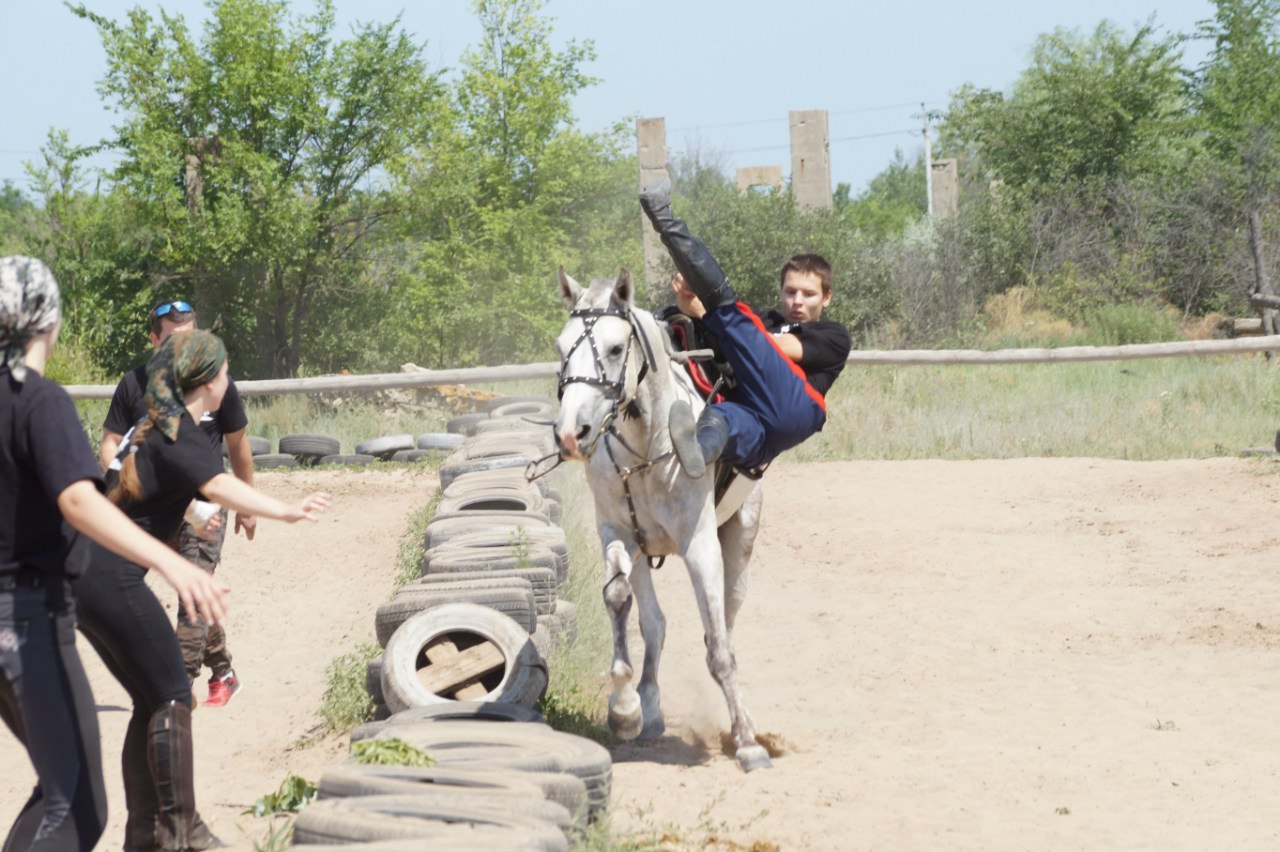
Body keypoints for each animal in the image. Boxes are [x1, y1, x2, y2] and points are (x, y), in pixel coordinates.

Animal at [550, 266, 768, 767]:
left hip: (741, 535)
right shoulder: (617, 533)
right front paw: (626, 709)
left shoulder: (700, 543)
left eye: (615, 348)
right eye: (560, 346)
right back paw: (647, 710)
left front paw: (748, 741)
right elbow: (619, 601)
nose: (571, 433)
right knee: (654, 623)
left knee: (724, 622)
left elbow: (720, 647)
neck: (647, 449)